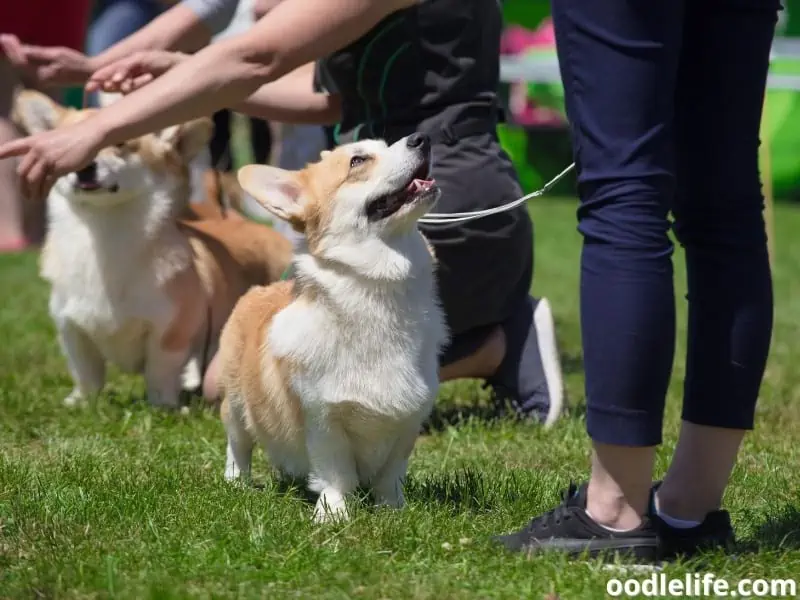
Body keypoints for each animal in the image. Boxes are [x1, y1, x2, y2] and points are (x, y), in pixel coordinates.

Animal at [11, 89, 294, 408]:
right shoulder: (71, 328)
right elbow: (86, 372)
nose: (84, 167)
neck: (105, 229)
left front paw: (164, 407)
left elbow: (159, 372)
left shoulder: (168, 332)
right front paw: (81, 402)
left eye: (120, 143)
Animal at [219, 132, 446, 520]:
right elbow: (337, 474)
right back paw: (237, 482)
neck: (378, 292)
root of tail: (260, 289)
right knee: (239, 444)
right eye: (358, 161)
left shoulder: (409, 419)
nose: (421, 137)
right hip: (235, 403)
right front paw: (333, 515)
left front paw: (392, 509)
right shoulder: (324, 420)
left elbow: (391, 474)